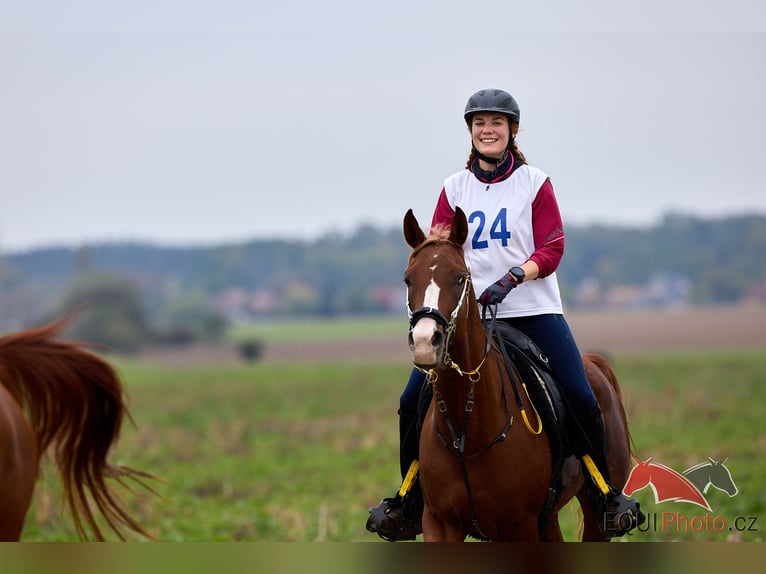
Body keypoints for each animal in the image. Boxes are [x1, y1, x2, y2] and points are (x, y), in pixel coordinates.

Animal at [404, 209, 632, 544]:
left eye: (459, 278)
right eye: (408, 279)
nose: (424, 341)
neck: (467, 430)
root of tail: (594, 362)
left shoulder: (518, 525)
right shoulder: (439, 523)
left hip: (594, 517)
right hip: (548, 520)